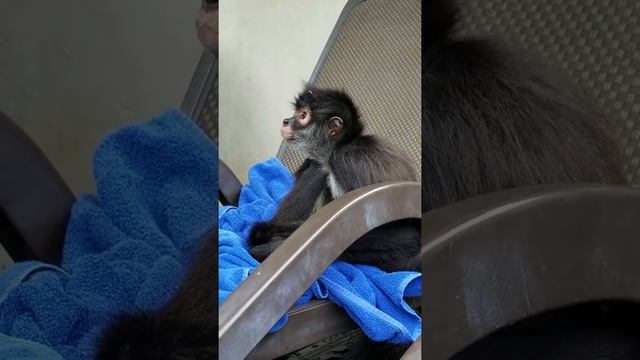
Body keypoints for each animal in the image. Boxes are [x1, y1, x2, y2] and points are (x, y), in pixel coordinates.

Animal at [245, 86, 420, 272]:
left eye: (303, 116)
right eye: (297, 113)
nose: (286, 121)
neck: (340, 146)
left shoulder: (346, 162)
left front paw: (267, 242)